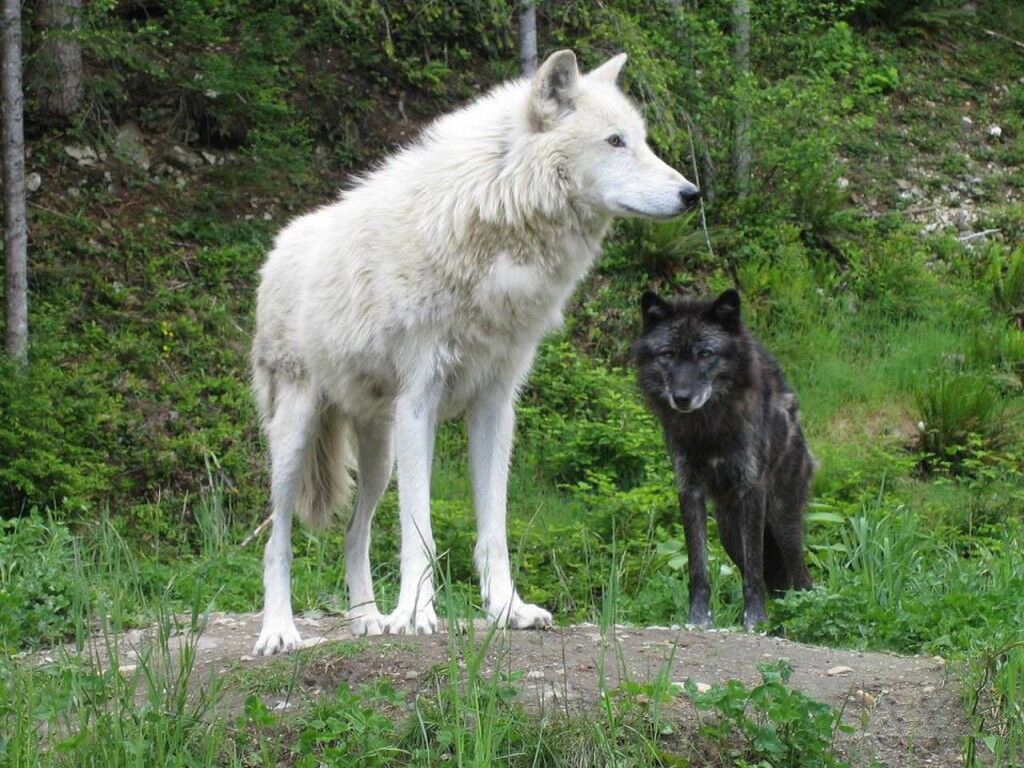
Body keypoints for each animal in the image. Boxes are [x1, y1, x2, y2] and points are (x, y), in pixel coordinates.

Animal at [249, 51, 696, 659]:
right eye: (614, 141)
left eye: (643, 141)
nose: (692, 194)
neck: (494, 214)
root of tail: (278, 248)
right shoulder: (419, 402)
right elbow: (419, 528)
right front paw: (416, 614)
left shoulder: (495, 406)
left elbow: (494, 531)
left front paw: (507, 610)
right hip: (296, 436)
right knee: (278, 540)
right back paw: (280, 631)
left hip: (379, 455)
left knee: (353, 533)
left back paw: (368, 621)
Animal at [630, 288, 815, 630]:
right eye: (668, 354)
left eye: (705, 354)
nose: (682, 398)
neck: (709, 429)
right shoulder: (689, 488)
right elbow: (698, 567)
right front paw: (697, 619)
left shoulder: (752, 488)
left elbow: (753, 572)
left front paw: (755, 620)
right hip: (730, 532)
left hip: (781, 520)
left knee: (800, 576)